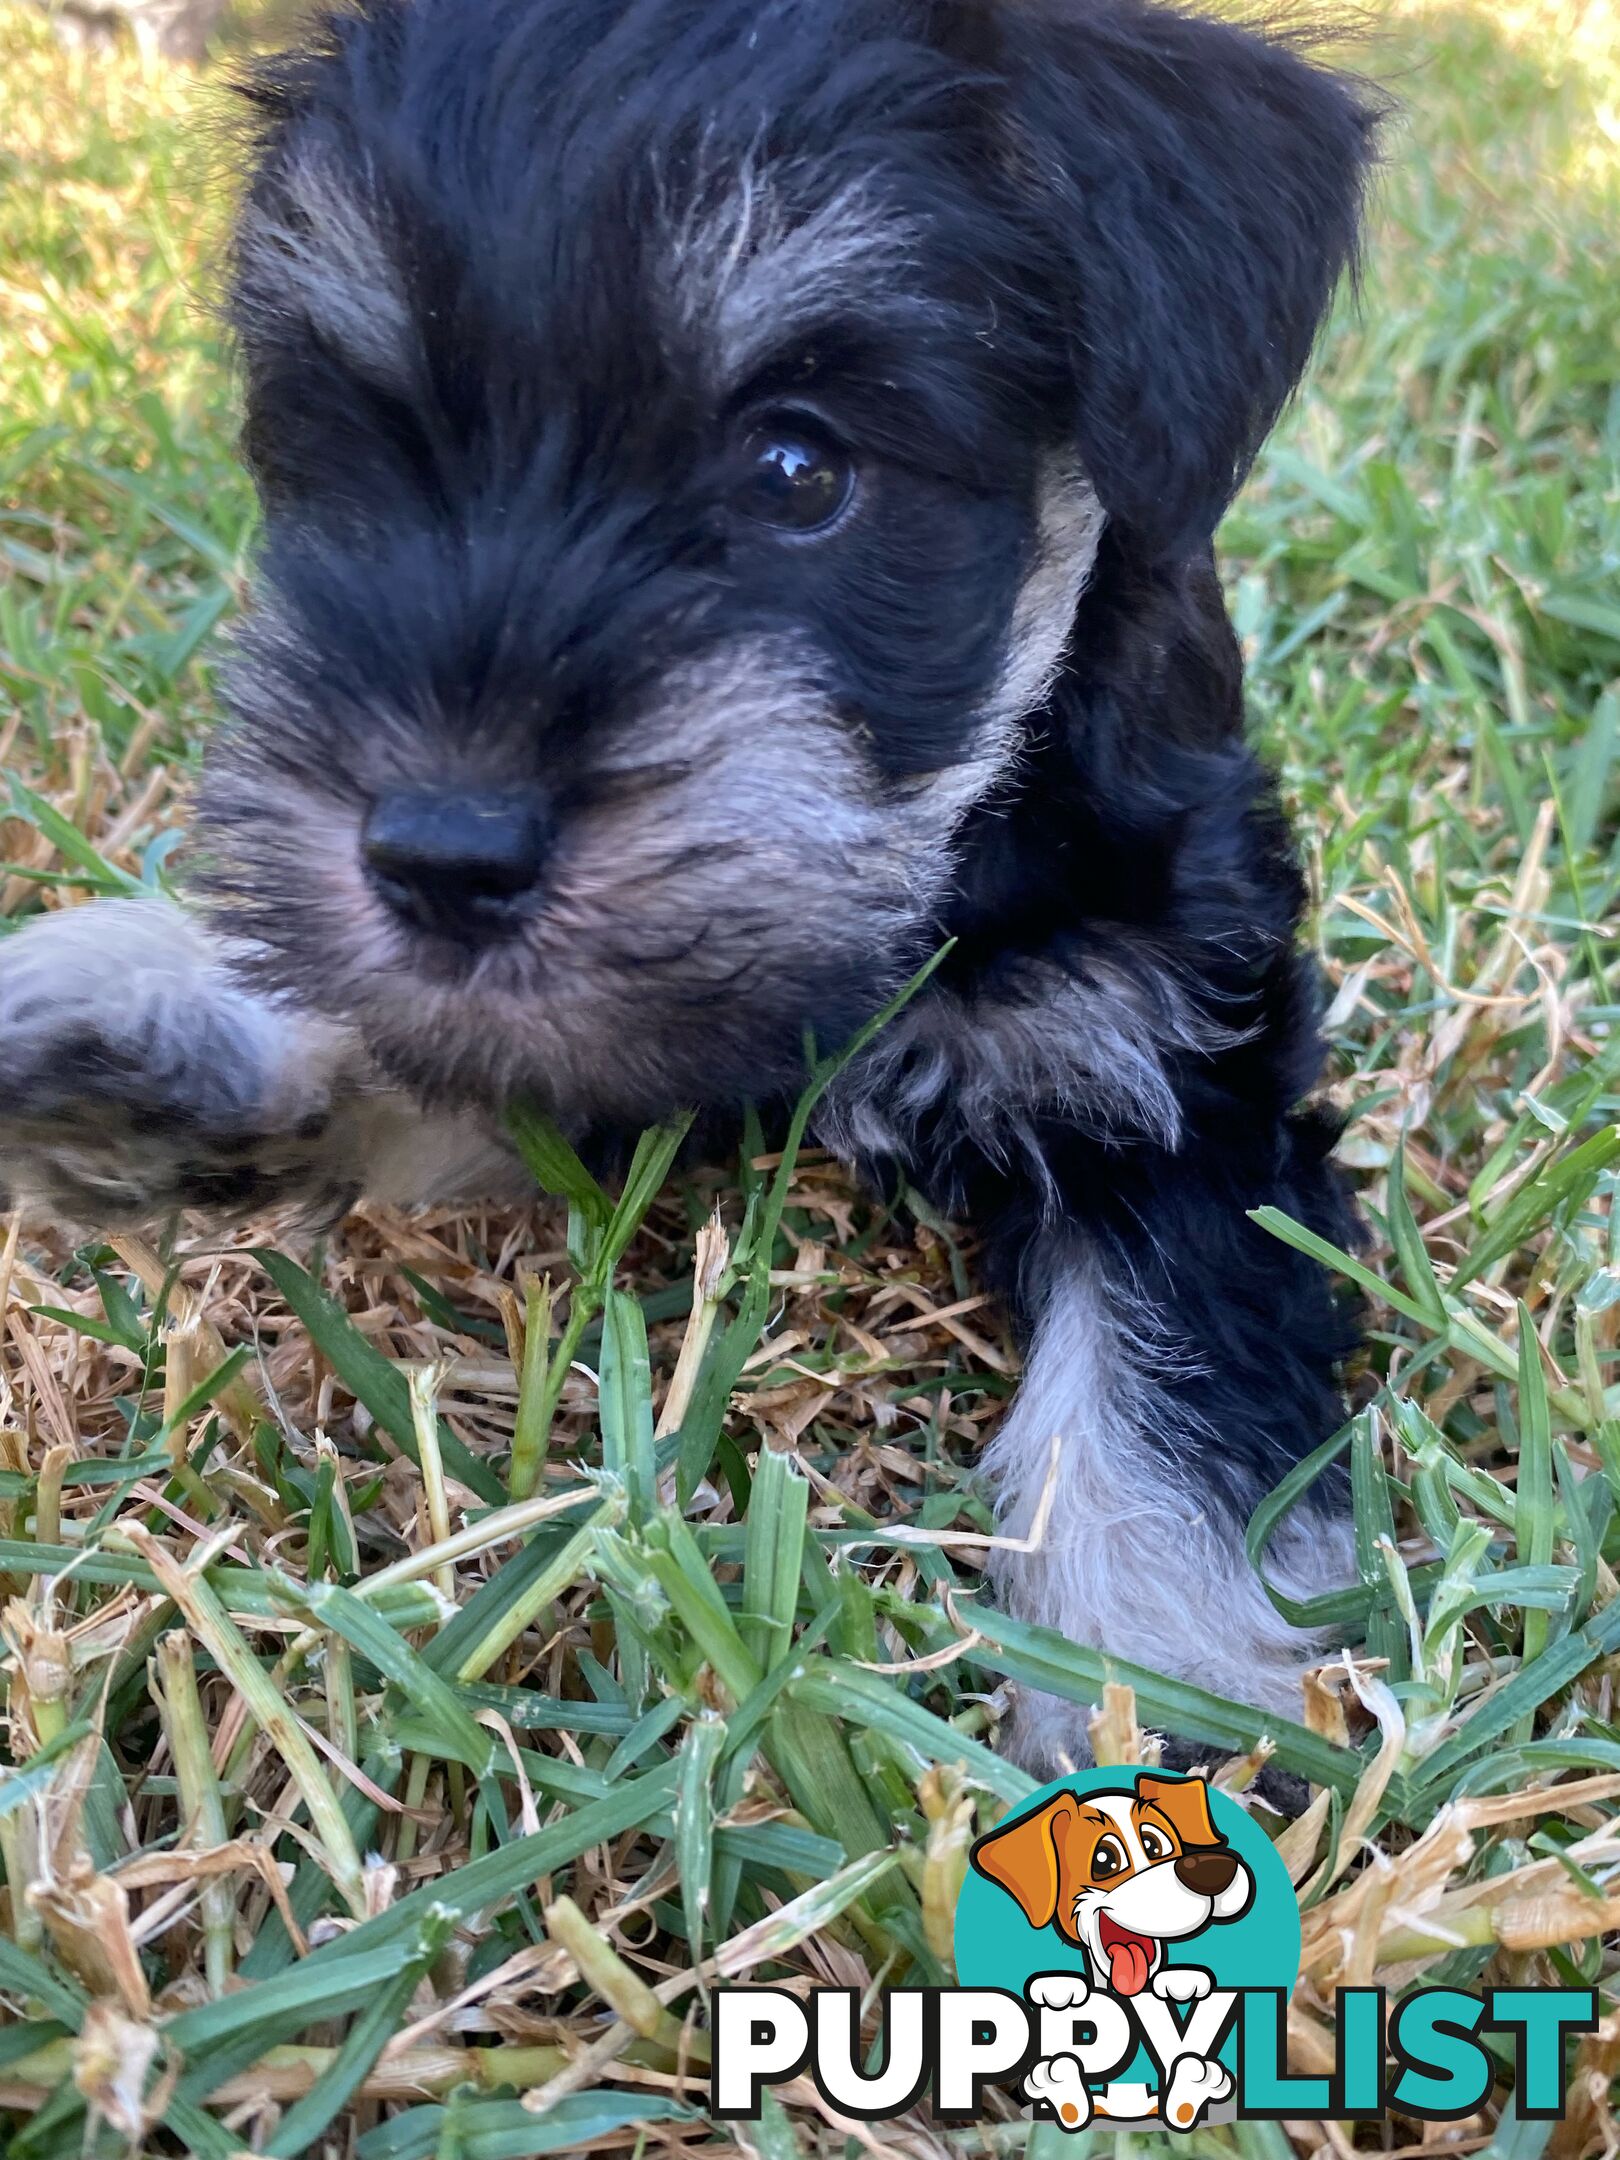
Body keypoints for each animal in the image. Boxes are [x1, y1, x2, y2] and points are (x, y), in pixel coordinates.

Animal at [6, 0, 1391, 1762]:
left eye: (798, 470)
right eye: (368, 453)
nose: (436, 855)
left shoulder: (1186, 1090)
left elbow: (1166, 1410)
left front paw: (1161, 1718)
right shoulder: (590, 1026)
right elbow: (445, 1050)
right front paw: (154, 1031)